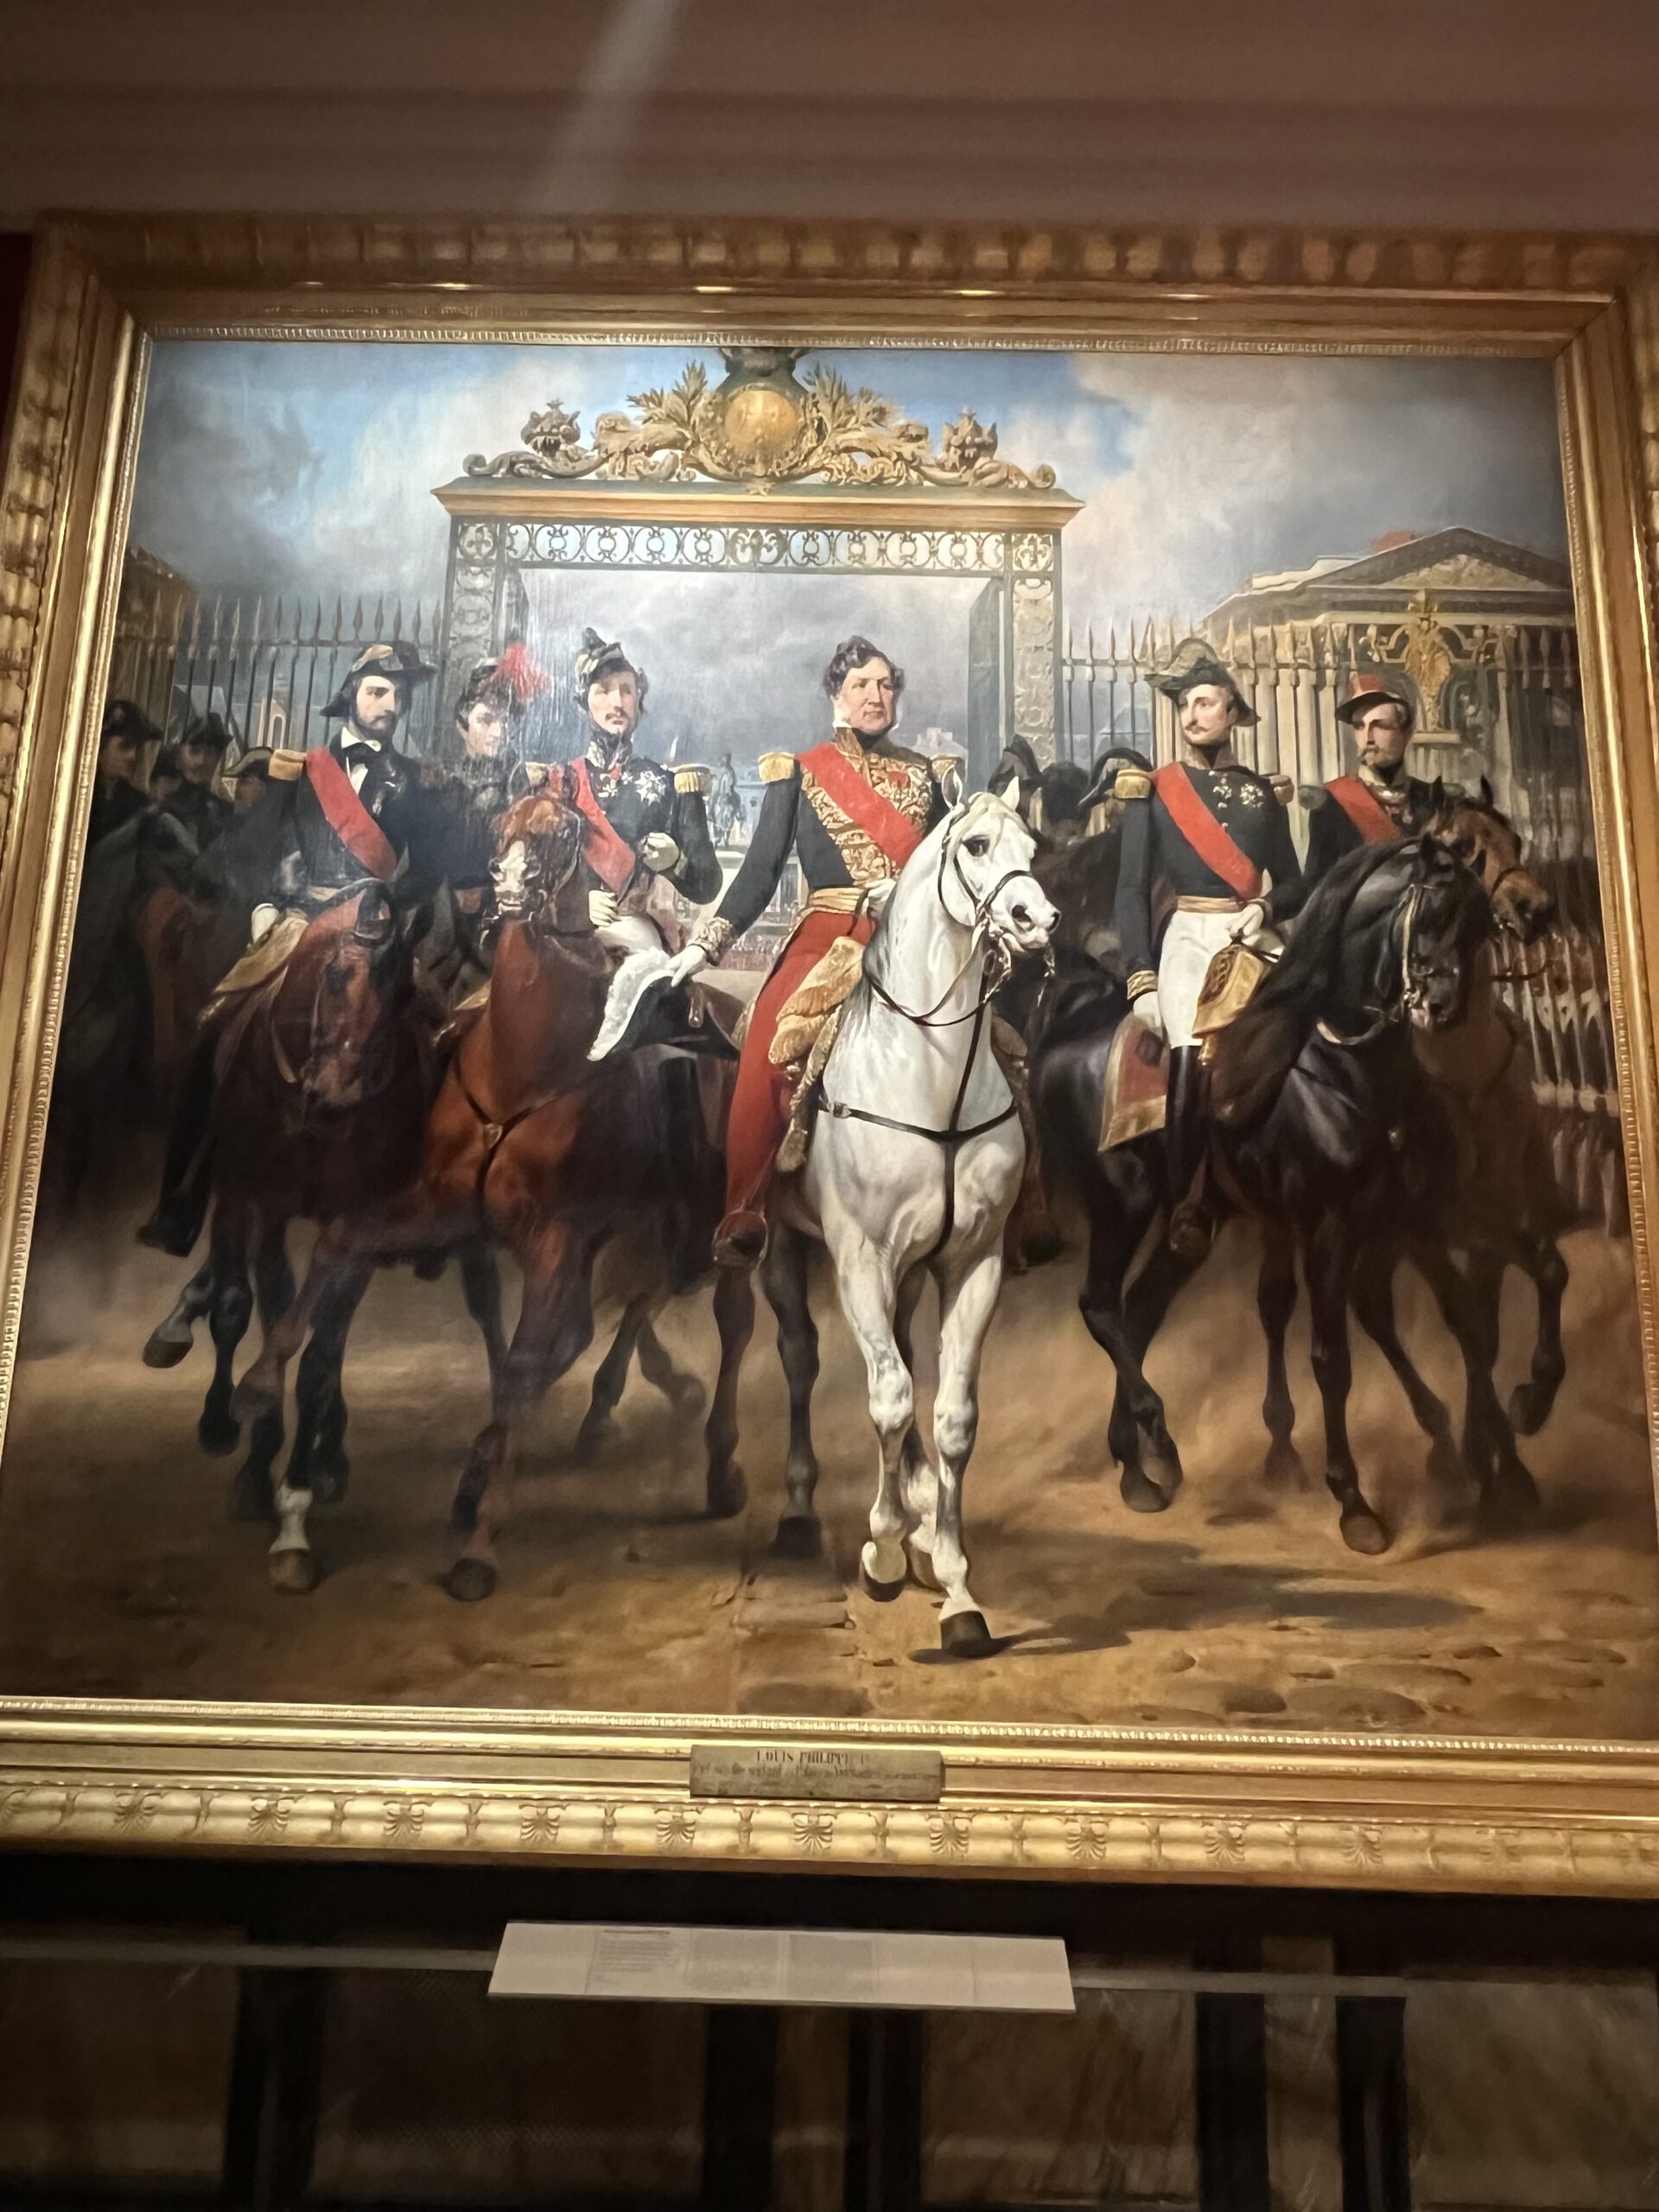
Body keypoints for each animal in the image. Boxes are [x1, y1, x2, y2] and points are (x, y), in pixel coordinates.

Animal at [230, 788, 748, 1600]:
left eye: (560, 832)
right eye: (503, 824)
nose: (505, 886)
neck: (521, 1066)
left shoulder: (556, 1239)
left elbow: (523, 1368)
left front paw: (479, 1544)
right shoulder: (435, 1207)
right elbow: (338, 1249)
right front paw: (257, 1383)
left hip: (719, 1227)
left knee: (730, 1322)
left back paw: (720, 1466)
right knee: (618, 1312)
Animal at [746, 792, 1056, 1657]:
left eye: (1033, 846)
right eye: (976, 845)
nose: (1036, 918)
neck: (930, 1077)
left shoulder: (973, 1264)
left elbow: (951, 1416)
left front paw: (954, 1583)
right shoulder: (860, 1261)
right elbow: (886, 1400)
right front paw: (882, 1551)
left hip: (915, 1272)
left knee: (911, 1361)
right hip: (783, 1251)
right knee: (800, 1357)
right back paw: (800, 1510)